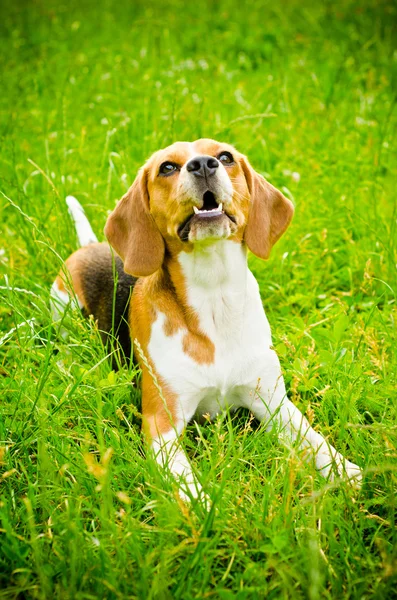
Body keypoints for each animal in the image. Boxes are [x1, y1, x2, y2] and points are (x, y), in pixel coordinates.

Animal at [52, 139, 362, 502]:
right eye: (167, 167)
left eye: (225, 156)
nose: (202, 164)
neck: (215, 297)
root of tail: (92, 246)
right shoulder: (161, 424)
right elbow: (188, 485)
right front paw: (206, 508)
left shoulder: (273, 402)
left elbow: (314, 440)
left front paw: (345, 472)